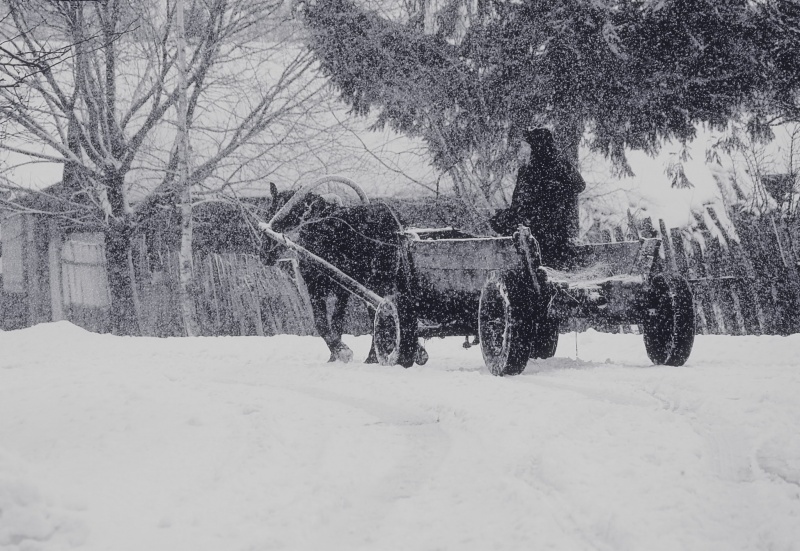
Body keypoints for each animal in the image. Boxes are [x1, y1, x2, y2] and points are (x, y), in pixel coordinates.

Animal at [262, 183, 424, 368]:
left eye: (270, 211)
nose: (263, 254)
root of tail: (393, 222)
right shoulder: (342, 290)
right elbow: (336, 321)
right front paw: (335, 356)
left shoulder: (317, 285)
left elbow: (322, 322)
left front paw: (341, 351)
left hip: (377, 282)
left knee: (383, 313)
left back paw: (377, 356)